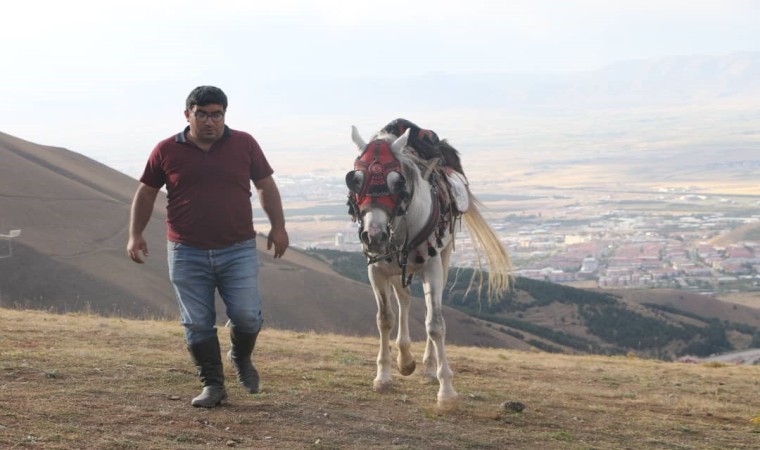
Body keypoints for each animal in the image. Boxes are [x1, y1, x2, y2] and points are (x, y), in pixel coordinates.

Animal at [348, 120, 512, 408]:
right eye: (355, 180)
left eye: (397, 182)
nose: (374, 236)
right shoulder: (376, 270)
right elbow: (385, 319)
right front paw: (383, 376)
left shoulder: (431, 268)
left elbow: (435, 324)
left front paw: (446, 390)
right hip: (396, 267)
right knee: (404, 299)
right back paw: (405, 358)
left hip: (441, 258)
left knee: (427, 308)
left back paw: (427, 367)